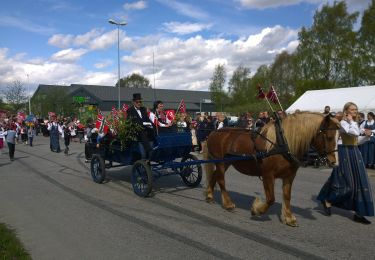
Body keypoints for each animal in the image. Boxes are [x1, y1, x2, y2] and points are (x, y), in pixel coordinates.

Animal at [204, 111, 342, 225]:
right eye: (329, 136)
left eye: (339, 137)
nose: (334, 162)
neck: (282, 144)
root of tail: (213, 133)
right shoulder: (268, 175)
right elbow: (271, 199)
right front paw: (257, 210)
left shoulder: (289, 176)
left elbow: (287, 196)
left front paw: (289, 218)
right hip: (221, 162)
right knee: (221, 181)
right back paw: (228, 204)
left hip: (226, 163)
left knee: (214, 176)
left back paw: (210, 196)